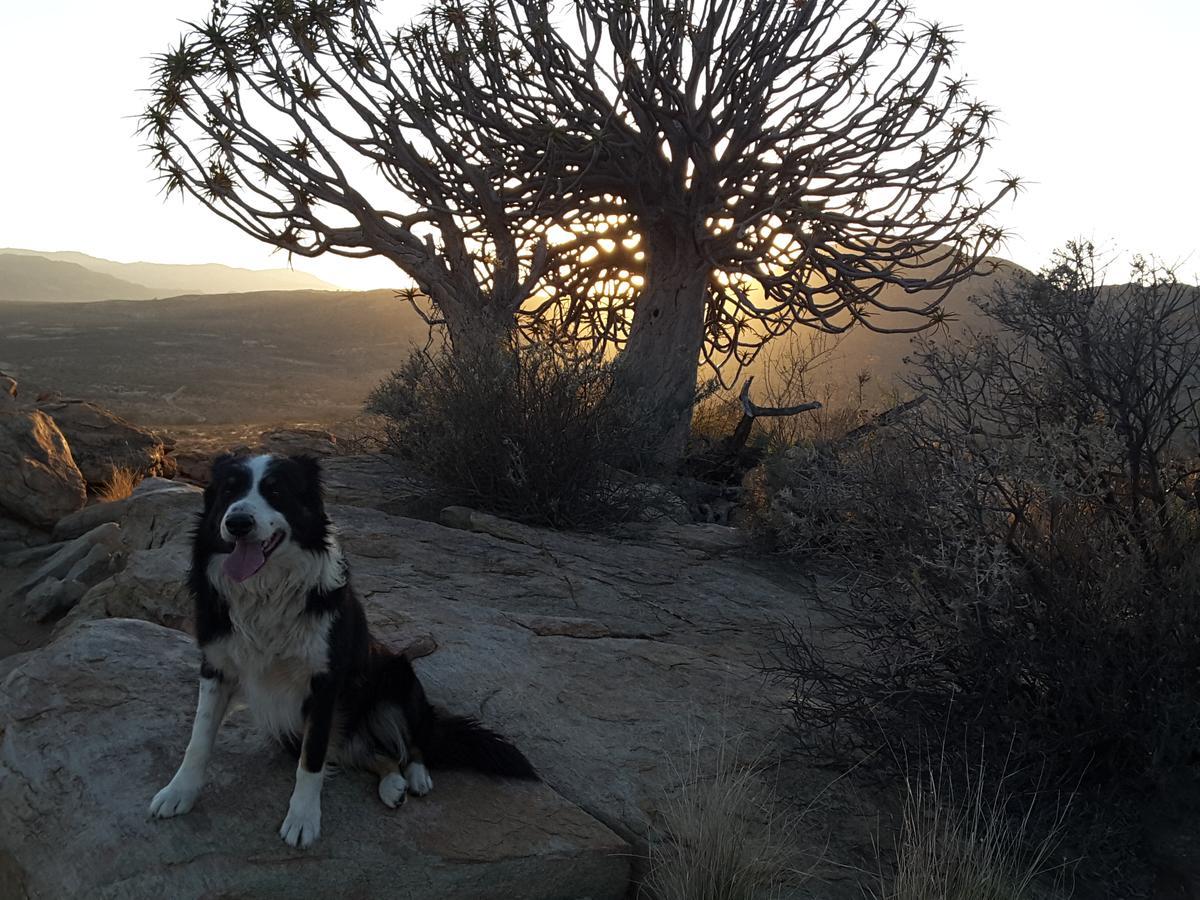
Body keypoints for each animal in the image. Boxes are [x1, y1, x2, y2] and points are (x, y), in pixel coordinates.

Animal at [150, 453, 535, 849]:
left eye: (276, 491)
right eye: (229, 491)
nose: (238, 523)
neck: (265, 593)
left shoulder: (324, 683)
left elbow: (313, 758)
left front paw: (303, 819)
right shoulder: (217, 667)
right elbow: (199, 738)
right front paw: (178, 792)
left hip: (398, 678)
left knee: (413, 743)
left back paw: (415, 776)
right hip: (290, 730)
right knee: (374, 755)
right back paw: (392, 784)